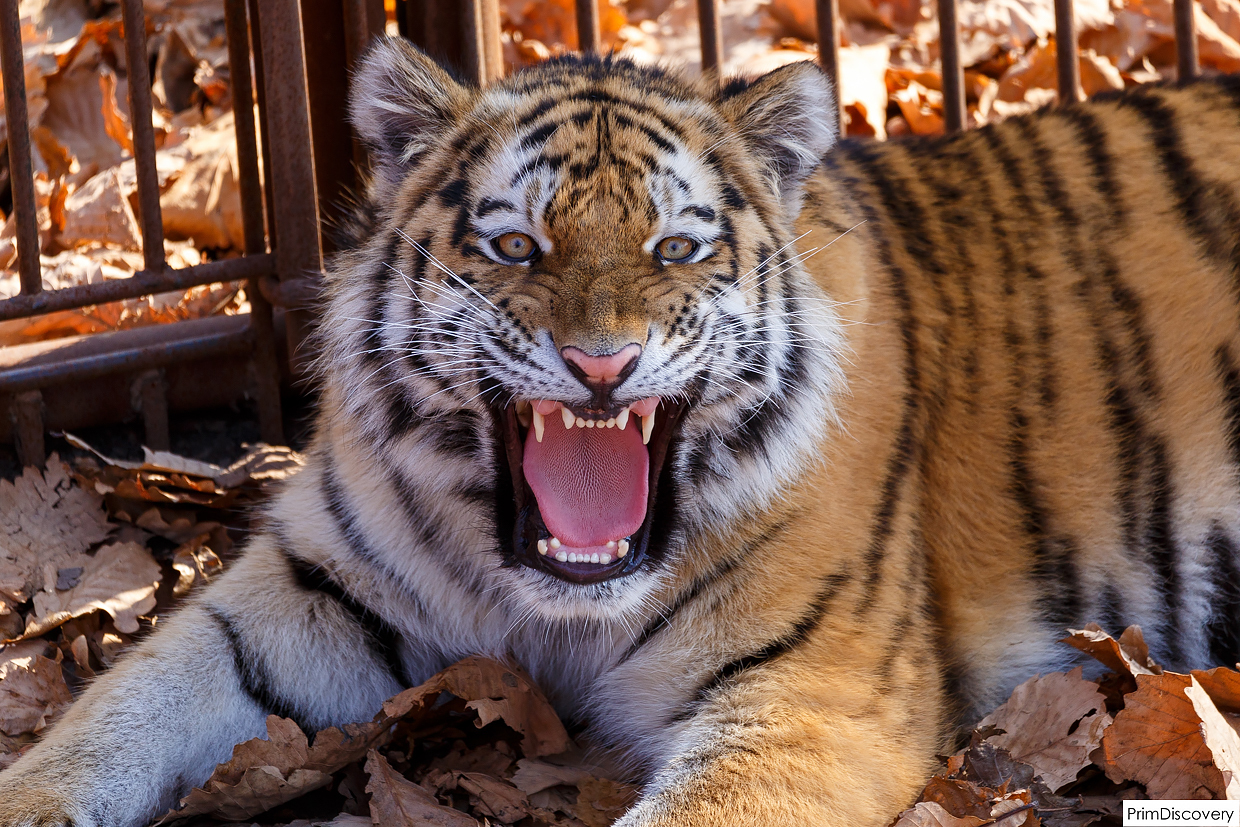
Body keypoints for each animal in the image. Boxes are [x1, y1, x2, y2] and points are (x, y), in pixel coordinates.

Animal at [2, 37, 1240, 827]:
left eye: (675, 249)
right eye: (516, 245)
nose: (603, 363)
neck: (554, 600)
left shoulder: (809, 691)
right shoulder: (308, 590)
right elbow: (119, 708)